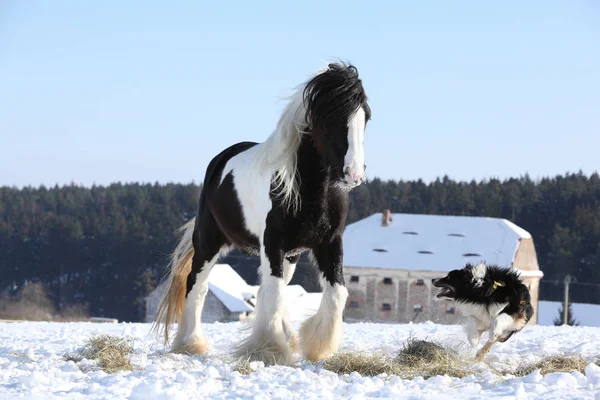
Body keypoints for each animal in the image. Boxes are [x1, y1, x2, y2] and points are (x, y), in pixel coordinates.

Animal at [151, 62, 370, 366]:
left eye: (365, 117)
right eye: (330, 119)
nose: (354, 174)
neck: (309, 190)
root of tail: (220, 159)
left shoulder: (328, 242)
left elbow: (336, 292)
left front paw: (316, 347)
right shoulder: (273, 242)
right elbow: (276, 293)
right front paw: (271, 350)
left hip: (290, 254)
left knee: (267, 289)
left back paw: (288, 337)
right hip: (209, 242)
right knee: (198, 286)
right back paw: (191, 343)